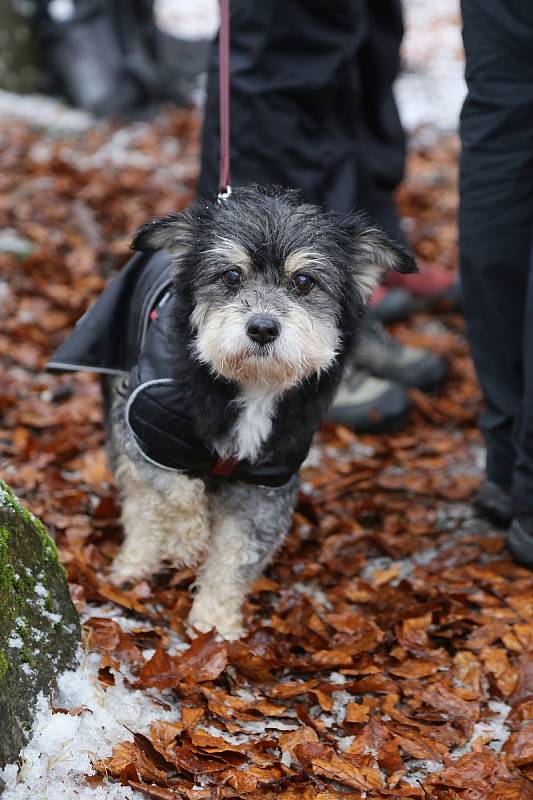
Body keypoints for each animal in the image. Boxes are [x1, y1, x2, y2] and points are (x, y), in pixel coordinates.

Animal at [104, 186, 416, 636]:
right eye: (231, 276)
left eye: (303, 281)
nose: (263, 328)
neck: (253, 384)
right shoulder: (142, 429)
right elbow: (174, 492)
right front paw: (185, 540)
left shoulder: (267, 482)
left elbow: (236, 553)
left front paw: (215, 622)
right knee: (137, 501)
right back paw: (135, 563)